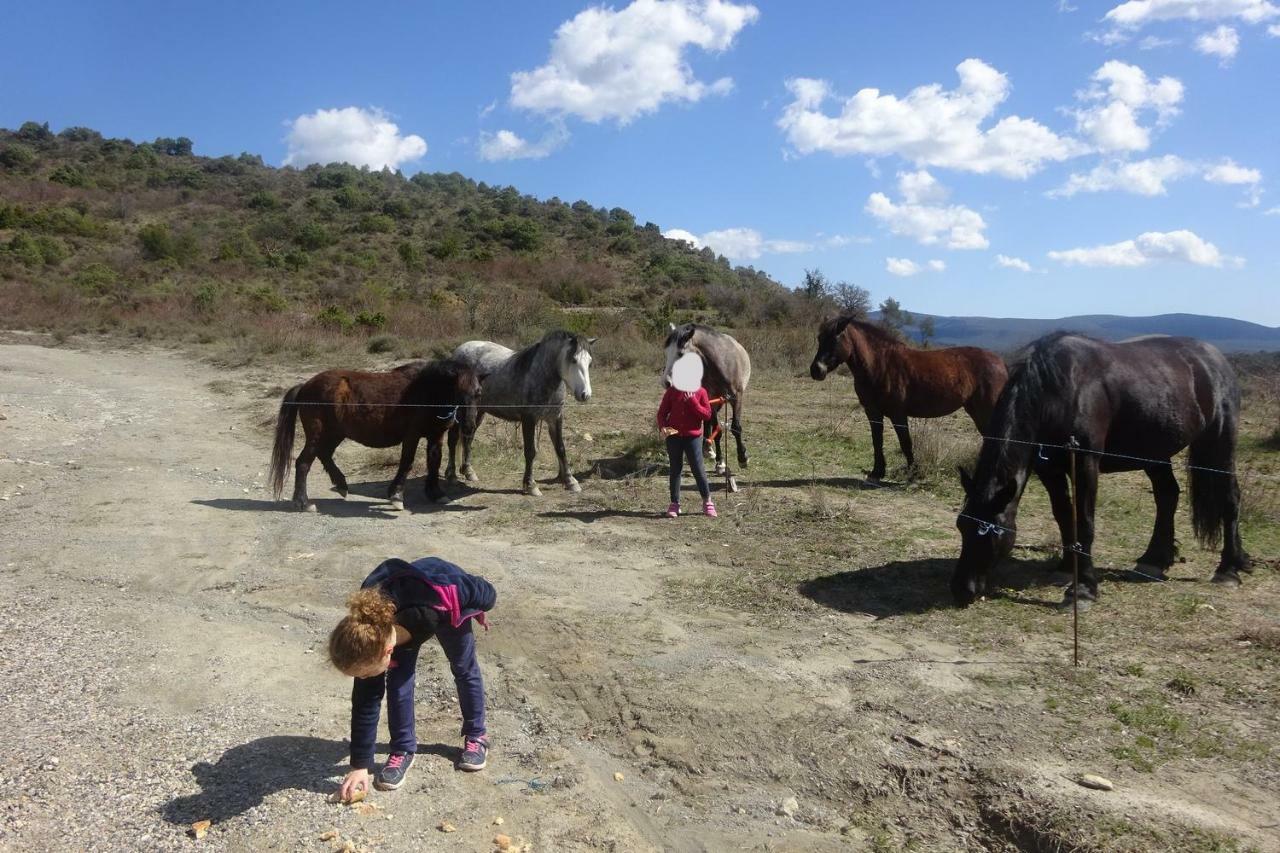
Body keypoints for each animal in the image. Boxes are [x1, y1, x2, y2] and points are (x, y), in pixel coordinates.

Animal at [267, 358, 481, 512]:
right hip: (318, 434)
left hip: (334, 434)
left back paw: (341, 485)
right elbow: (407, 463)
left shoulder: (436, 436)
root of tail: (305, 386)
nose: (469, 426)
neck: (427, 390)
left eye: (478, 394)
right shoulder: (411, 435)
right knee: (303, 463)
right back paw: (303, 503)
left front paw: (435, 493)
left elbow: (434, 462)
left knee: (324, 455)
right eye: (458, 393)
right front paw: (396, 496)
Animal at [445, 326, 593, 499]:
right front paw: (531, 485)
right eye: (573, 360)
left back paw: (469, 471)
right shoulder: (529, 420)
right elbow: (530, 452)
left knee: (468, 437)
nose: (585, 395)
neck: (541, 374)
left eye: (589, 362)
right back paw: (451, 475)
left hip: (478, 411)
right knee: (453, 439)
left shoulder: (555, 418)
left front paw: (570, 481)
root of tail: (459, 351)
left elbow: (561, 449)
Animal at [665, 320, 752, 489]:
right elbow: (717, 429)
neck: (721, 363)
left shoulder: (736, 398)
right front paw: (720, 463)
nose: (666, 382)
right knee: (707, 421)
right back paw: (707, 449)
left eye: (680, 354)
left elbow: (736, 428)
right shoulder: (711, 398)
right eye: (666, 352)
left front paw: (742, 458)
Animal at [808, 315, 1008, 481]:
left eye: (835, 339)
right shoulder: (873, 412)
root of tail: (1000, 363)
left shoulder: (898, 414)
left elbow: (906, 443)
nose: (816, 370)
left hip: (985, 411)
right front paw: (877, 472)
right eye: (819, 338)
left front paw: (913, 473)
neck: (880, 365)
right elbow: (877, 440)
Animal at [957, 327, 1244, 607]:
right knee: (1167, 496)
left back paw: (1228, 569)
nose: (962, 589)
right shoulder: (1049, 469)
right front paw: (1066, 568)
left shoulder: (1085, 464)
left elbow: (1084, 521)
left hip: (1219, 443)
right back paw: (1154, 560)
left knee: (1230, 498)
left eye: (991, 531)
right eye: (961, 524)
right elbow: (1063, 515)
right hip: (1155, 452)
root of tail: (1215, 359)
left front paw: (1083, 589)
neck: (1058, 390)